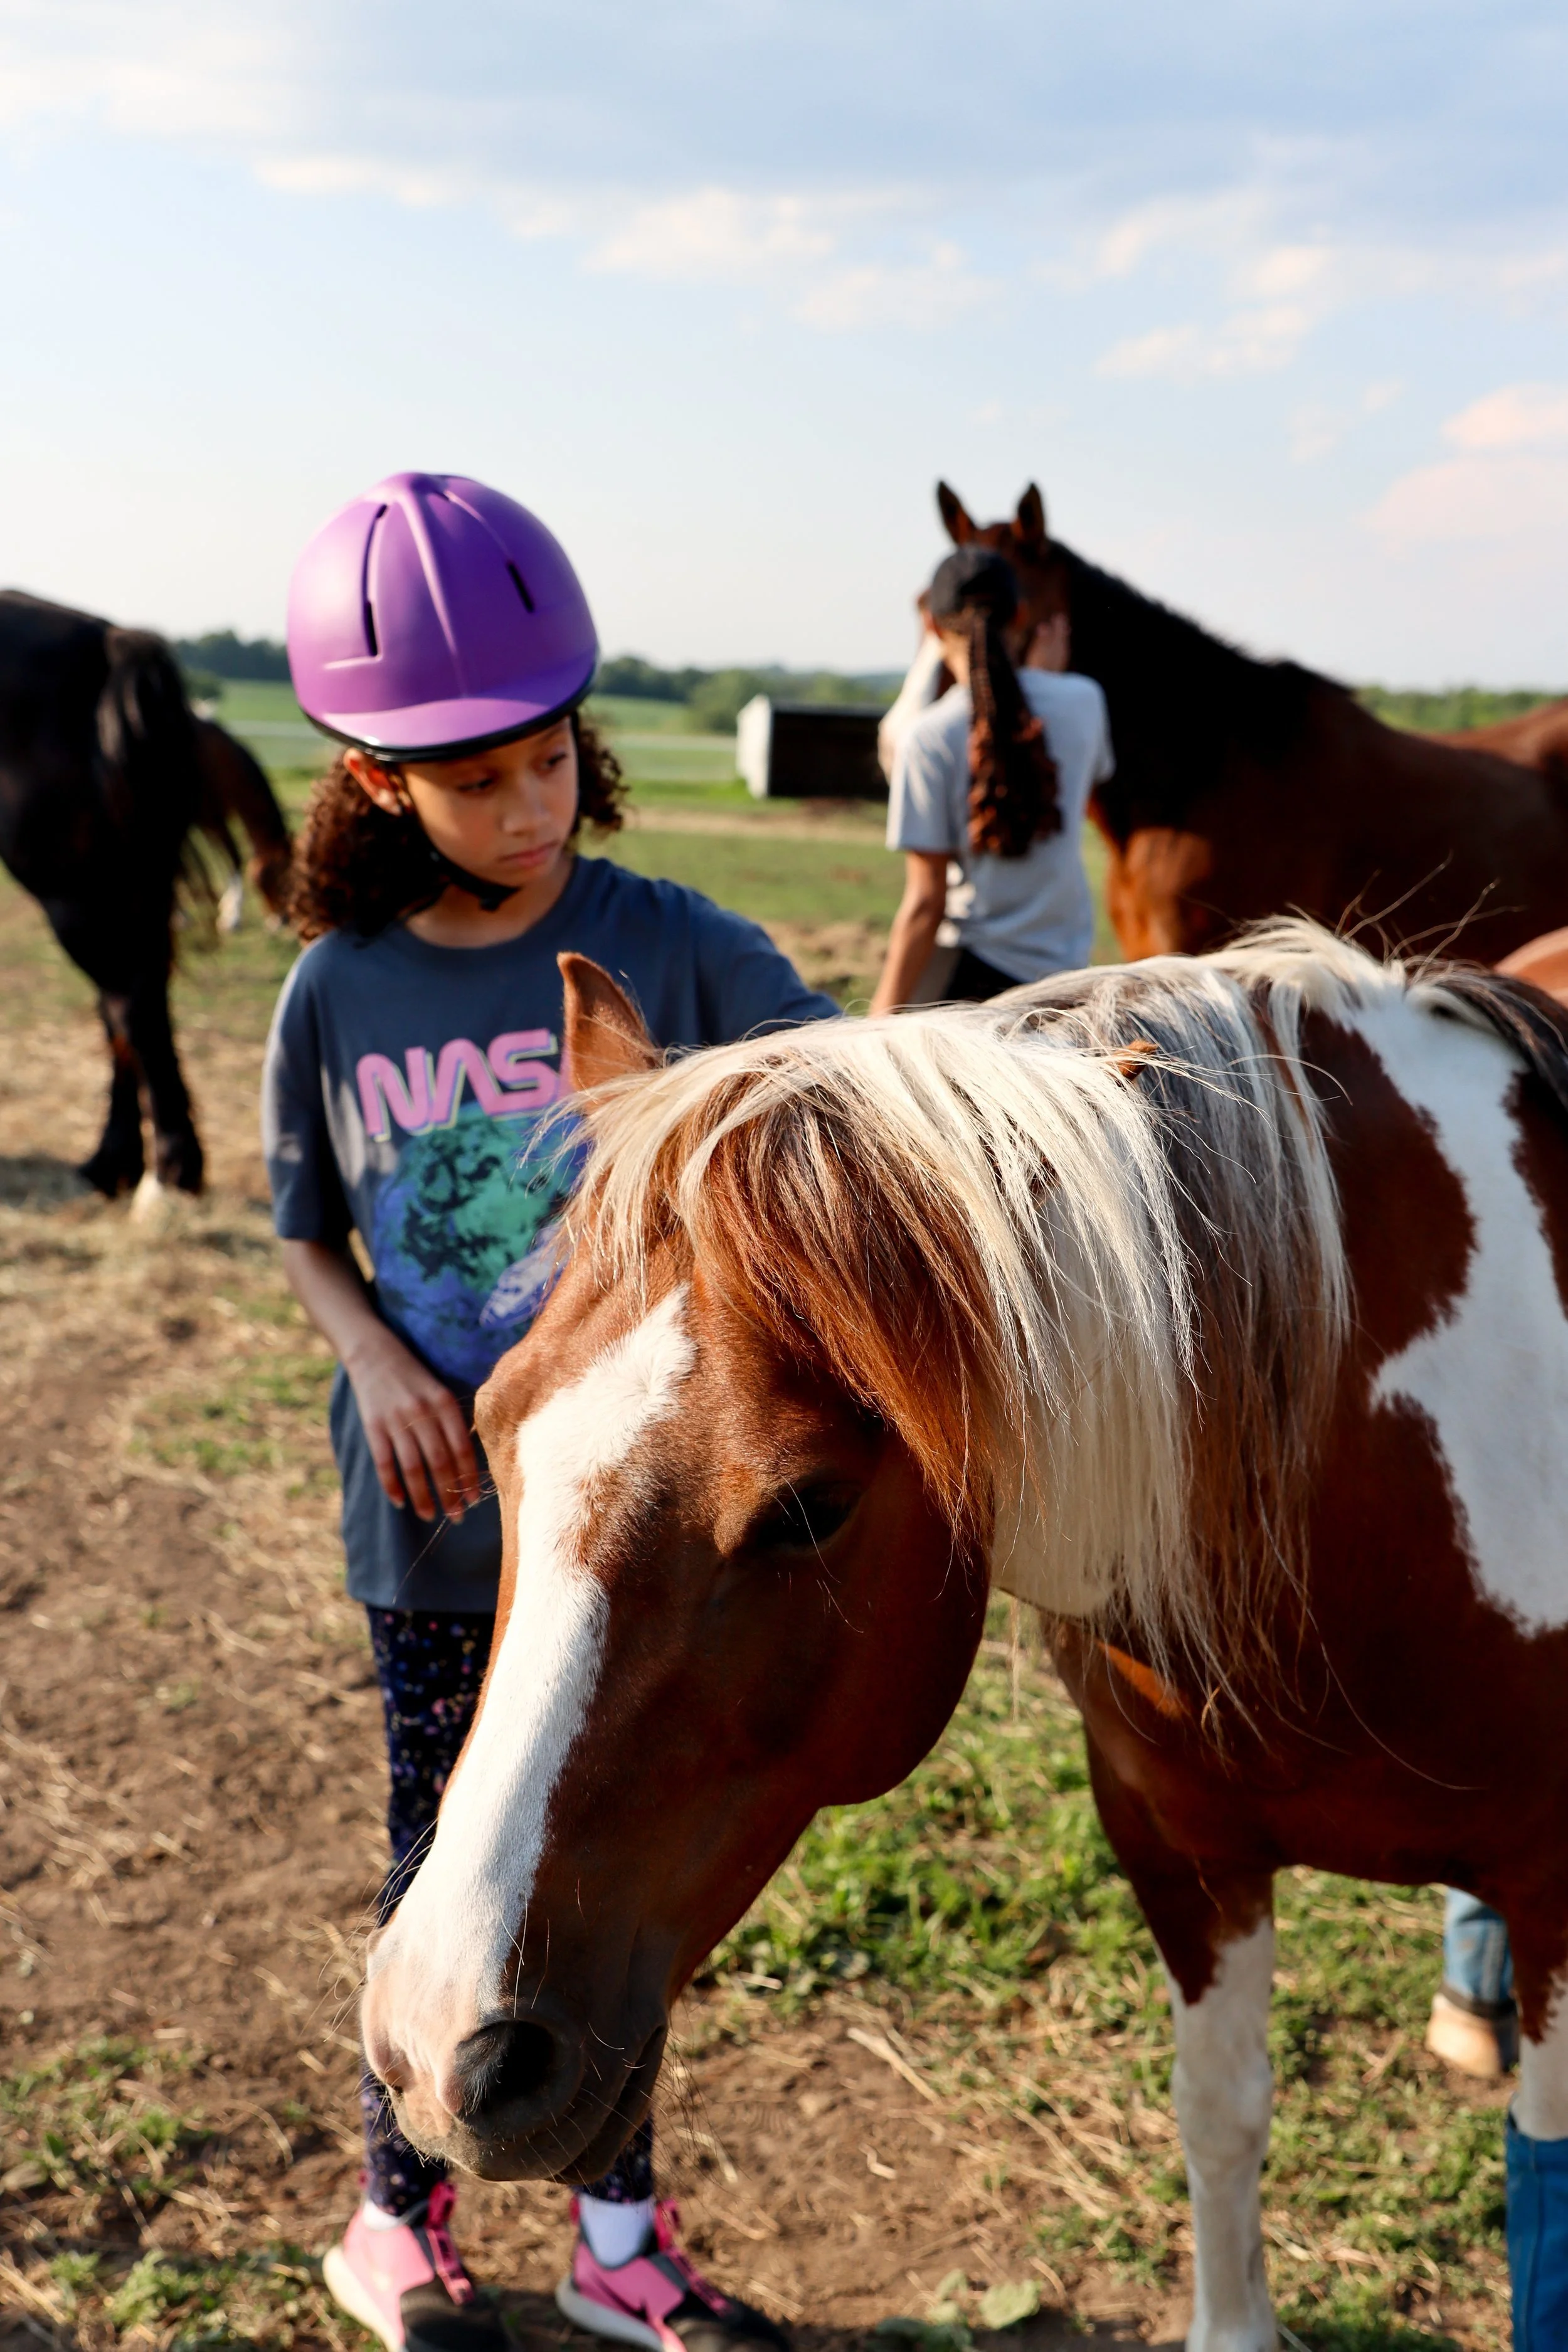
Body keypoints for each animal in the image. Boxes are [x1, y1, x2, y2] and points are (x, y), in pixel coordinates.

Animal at [0, 591, 292, 1197]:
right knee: (126, 1003)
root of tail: (109, 642)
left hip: (79, 891)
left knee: (130, 1003)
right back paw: (119, 1162)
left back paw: (168, 1170)